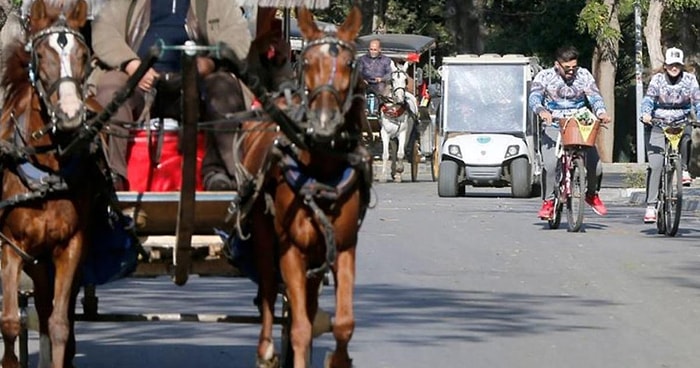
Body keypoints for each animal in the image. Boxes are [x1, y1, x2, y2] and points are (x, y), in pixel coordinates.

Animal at [0, 1, 93, 366]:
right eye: (40, 54)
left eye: (84, 54)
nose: (70, 113)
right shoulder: (11, 247)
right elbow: (10, 323)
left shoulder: (71, 246)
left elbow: (59, 324)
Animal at [232, 5, 370, 368]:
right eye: (306, 62)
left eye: (350, 63)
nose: (323, 123)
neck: (320, 168)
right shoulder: (291, 248)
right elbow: (300, 330)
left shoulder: (344, 245)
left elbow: (344, 323)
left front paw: (339, 359)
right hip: (264, 232)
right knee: (268, 288)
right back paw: (266, 349)